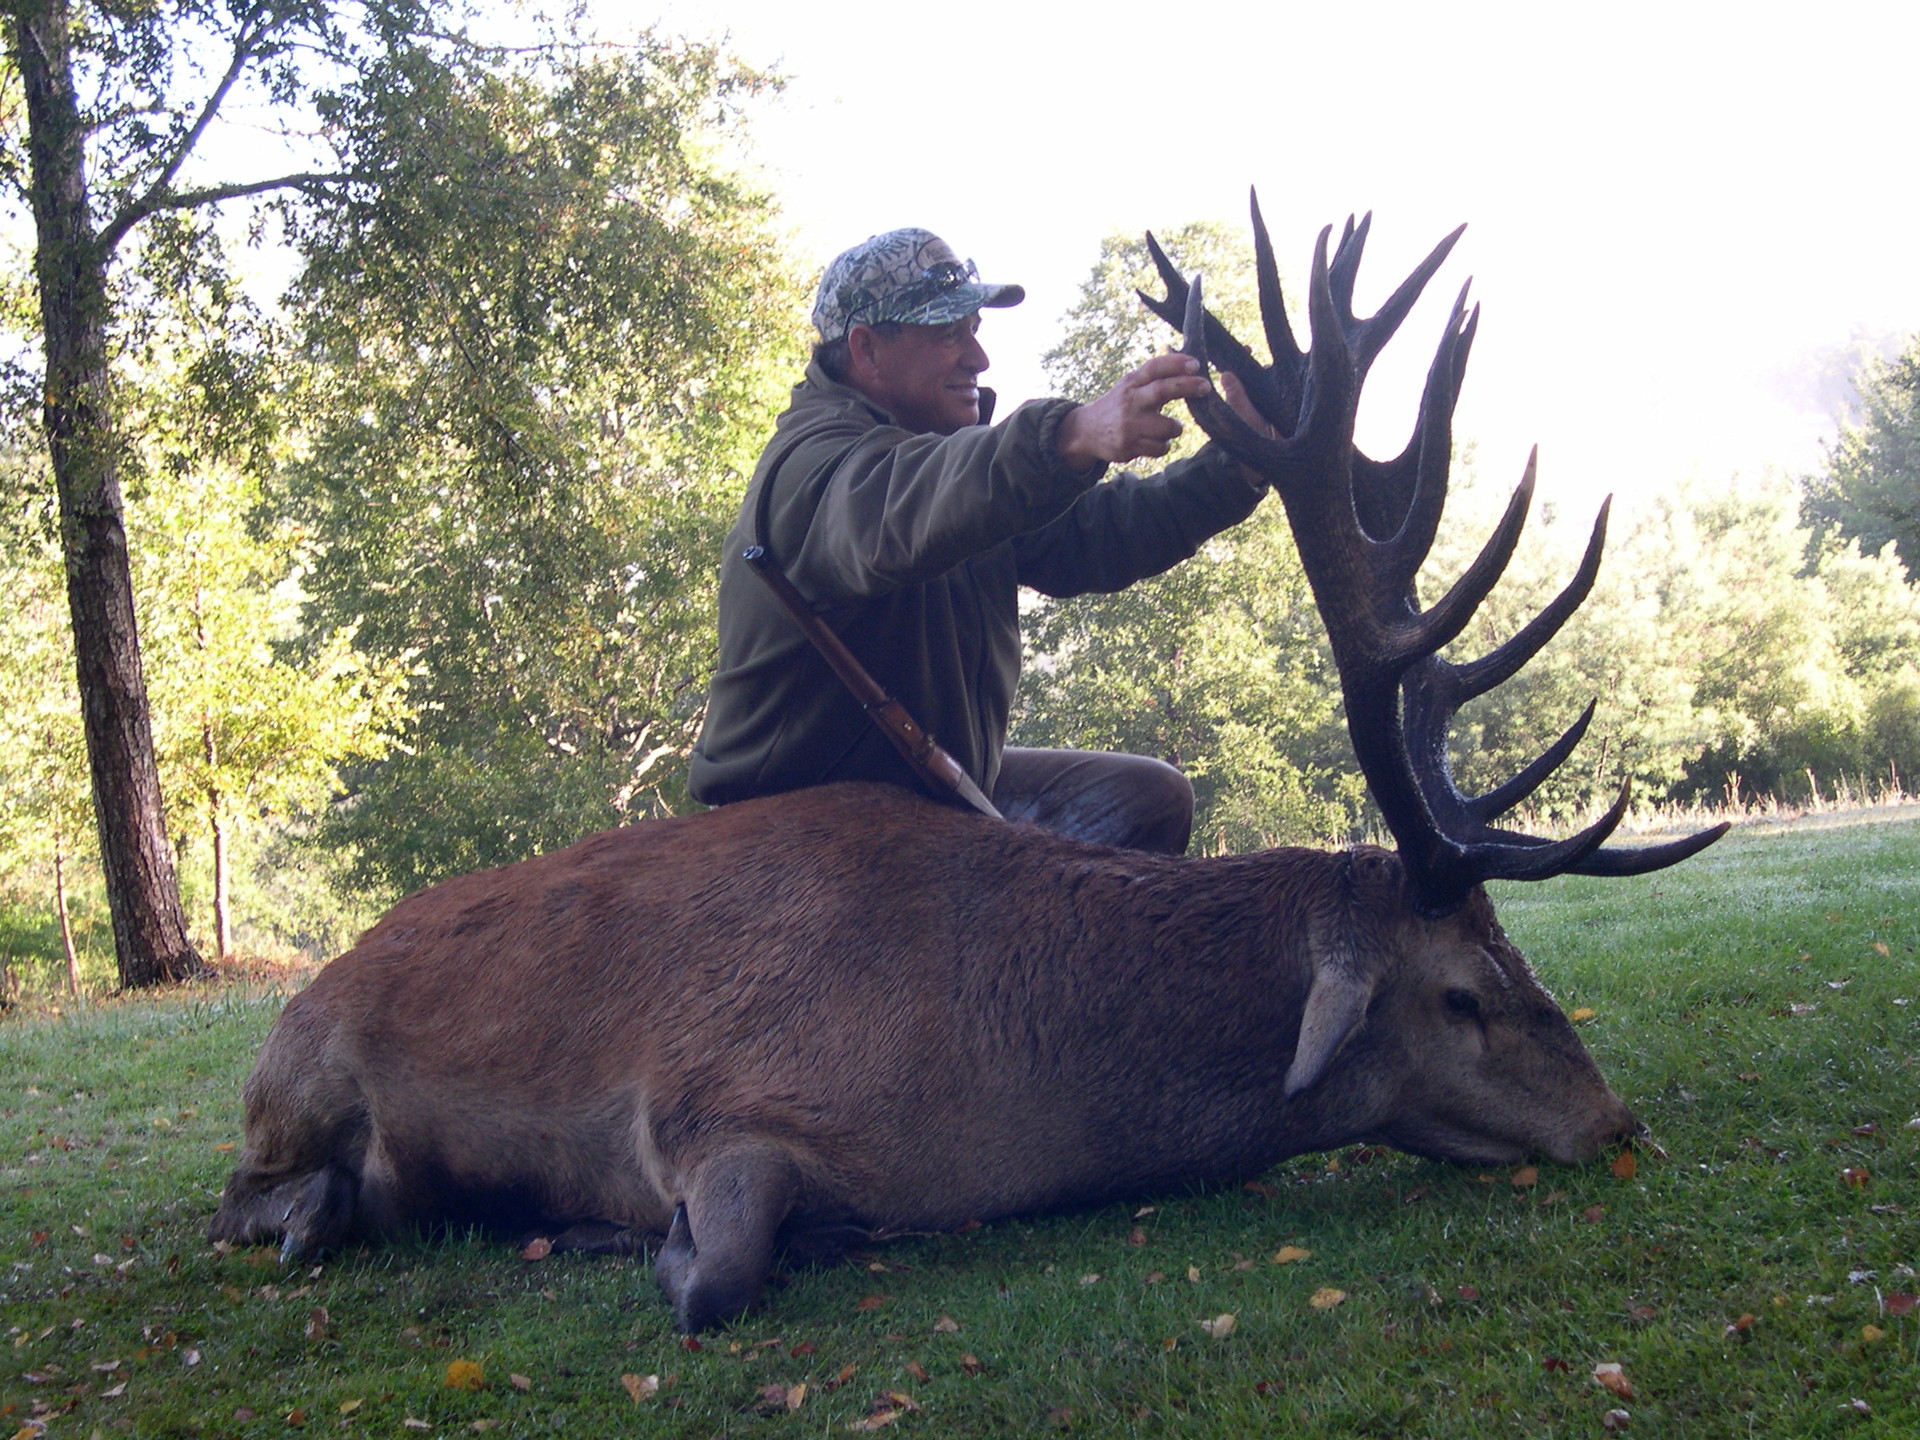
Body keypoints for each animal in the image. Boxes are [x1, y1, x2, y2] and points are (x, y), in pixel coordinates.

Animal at [210, 203, 1728, 1328]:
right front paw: (633, 1239)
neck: (1001, 1083)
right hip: (296, 1073)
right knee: (252, 1193)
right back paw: (332, 1210)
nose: (1615, 1121)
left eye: (1517, 953)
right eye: (1465, 992)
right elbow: (721, 1277)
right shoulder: (713, 1103)